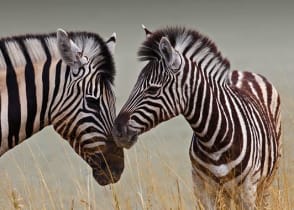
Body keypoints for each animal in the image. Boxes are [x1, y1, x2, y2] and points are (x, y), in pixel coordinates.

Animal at [112, 26, 280, 208]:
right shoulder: (202, 189)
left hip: (265, 183)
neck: (214, 140)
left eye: (152, 89)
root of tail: (244, 72)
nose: (117, 130)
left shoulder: (248, 189)